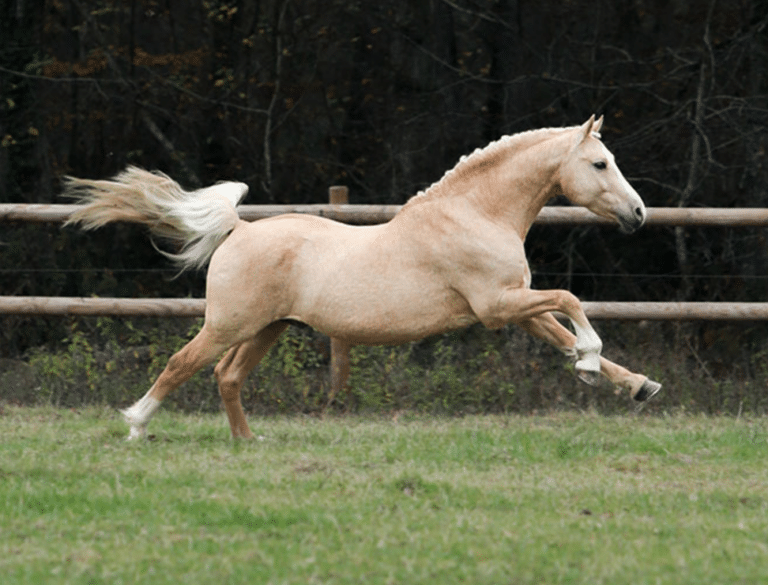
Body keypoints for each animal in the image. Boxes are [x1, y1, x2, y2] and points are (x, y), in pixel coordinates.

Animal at [64, 115, 661, 440]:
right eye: (601, 164)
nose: (638, 214)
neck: (475, 213)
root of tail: (239, 229)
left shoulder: (512, 304)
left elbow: (561, 329)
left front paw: (636, 385)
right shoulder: (498, 304)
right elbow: (572, 302)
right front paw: (590, 362)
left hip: (268, 328)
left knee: (227, 377)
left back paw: (248, 441)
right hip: (229, 324)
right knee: (182, 363)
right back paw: (137, 425)